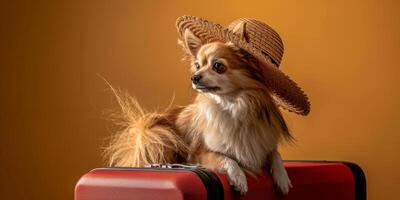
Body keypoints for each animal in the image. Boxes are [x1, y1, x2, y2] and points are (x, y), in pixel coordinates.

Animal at [104, 21, 298, 194]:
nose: (194, 77)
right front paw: (239, 178)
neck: (233, 105)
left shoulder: (262, 146)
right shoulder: (200, 154)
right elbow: (225, 158)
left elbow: (275, 155)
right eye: (197, 65)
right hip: (159, 135)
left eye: (218, 66)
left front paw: (282, 178)